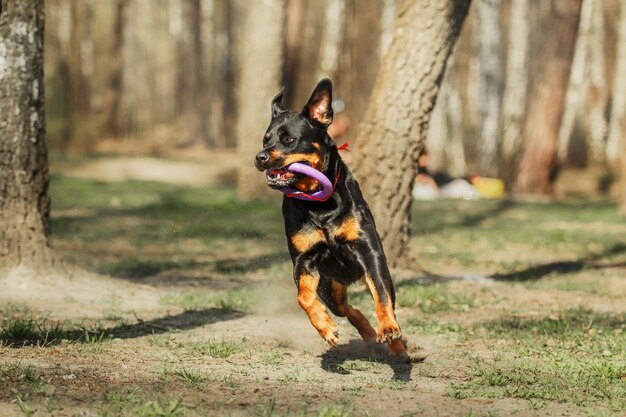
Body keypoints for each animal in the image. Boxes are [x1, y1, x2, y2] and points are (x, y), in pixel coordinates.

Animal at [254, 79, 404, 356]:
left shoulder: (369, 251)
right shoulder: (304, 259)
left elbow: (381, 295)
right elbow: (303, 296)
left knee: (384, 297)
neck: (320, 205)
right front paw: (325, 327)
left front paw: (389, 329)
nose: (260, 157)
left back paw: (398, 346)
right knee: (348, 309)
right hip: (331, 288)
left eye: (289, 138)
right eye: (265, 140)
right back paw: (366, 334)